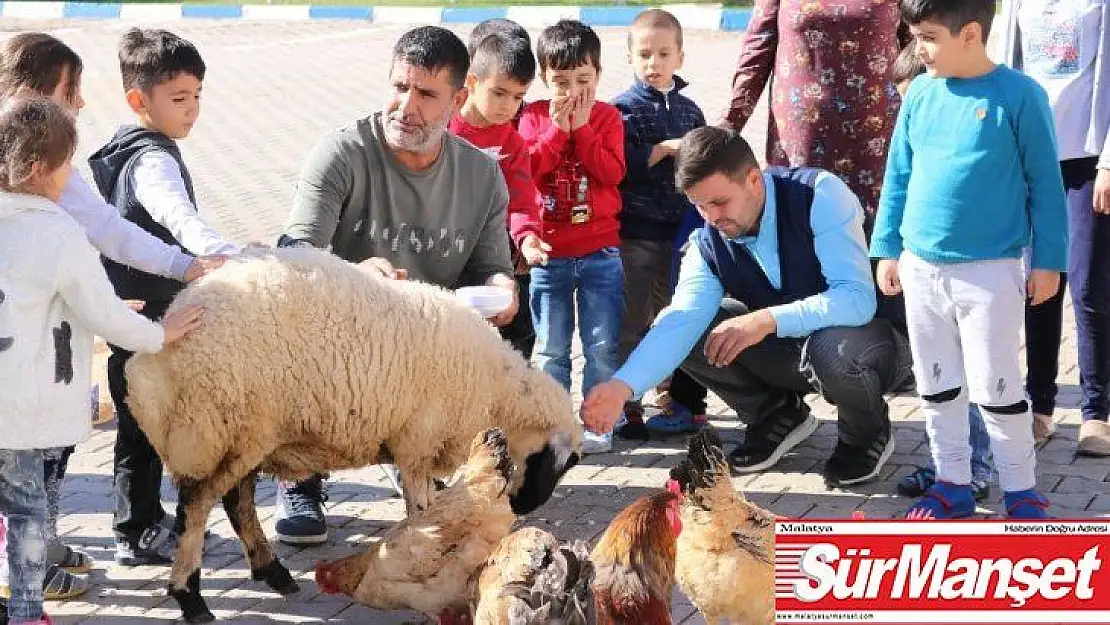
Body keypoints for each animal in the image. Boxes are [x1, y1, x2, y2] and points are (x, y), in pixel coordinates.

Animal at [123, 247, 581, 621]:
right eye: (558, 465)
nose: (524, 507)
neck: (496, 394)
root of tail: (154, 363)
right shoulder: (416, 442)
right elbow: (422, 512)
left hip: (249, 433)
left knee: (237, 503)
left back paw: (271, 570)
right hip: (216, 427)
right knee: (197, 506)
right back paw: (189, 595)